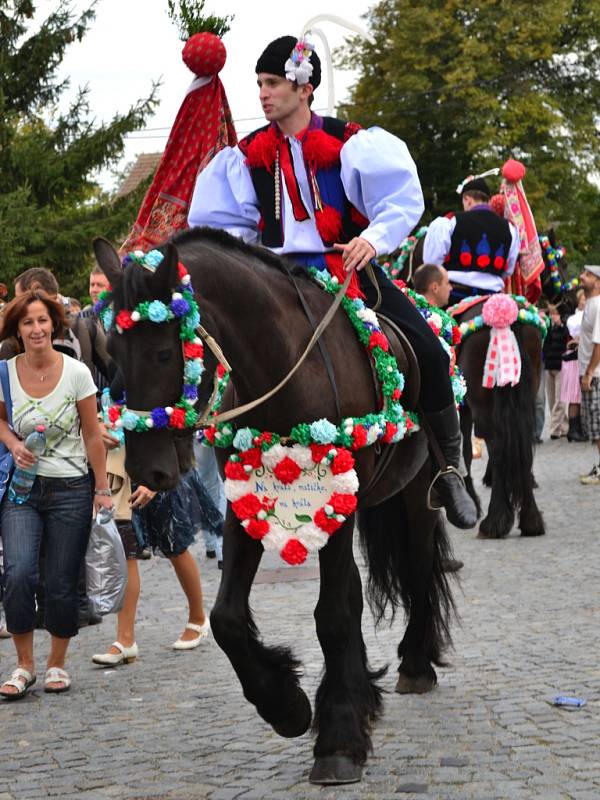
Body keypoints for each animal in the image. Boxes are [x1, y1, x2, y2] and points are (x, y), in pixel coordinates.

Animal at [94, 233, 454, 788]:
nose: (147, 471)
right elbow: (226, 618)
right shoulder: (245, 500)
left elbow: (332, 615)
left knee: (417, 567)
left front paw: (338, 741)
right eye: (111, 353)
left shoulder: (336, 498)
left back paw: (415, 664)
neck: (288, 369)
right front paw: (288, 707)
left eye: (163, 351)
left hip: (417, 494)